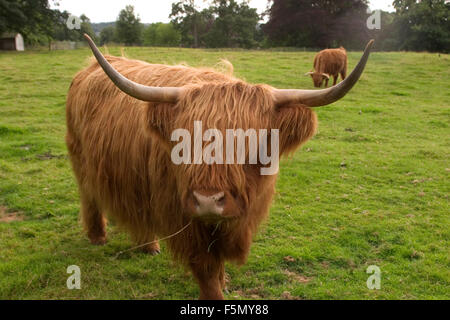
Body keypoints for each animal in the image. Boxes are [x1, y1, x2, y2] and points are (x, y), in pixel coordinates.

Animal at [64, 35, 372, 300]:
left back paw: (149, 245)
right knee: (90, 197)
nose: (208, 201)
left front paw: (224, 282)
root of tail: (93, 66)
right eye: (181, 144)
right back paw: (98, 237)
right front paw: (214, 292)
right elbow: (206, 265)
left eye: (253, 144)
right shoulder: (183, 216)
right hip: (81, 161)